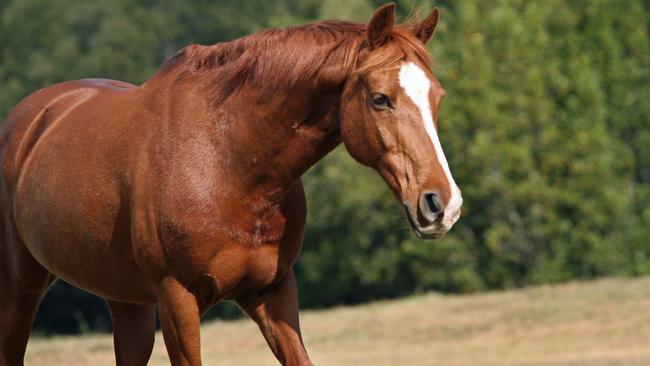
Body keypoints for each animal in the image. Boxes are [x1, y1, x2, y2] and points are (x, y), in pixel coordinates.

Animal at [0, 3, 460, 366]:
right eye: (380, 98)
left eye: (438, 96)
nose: (443, 205)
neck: (229, 161)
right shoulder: (178, 300)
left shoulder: (273, 292)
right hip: (20, 289)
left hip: (126, 301)